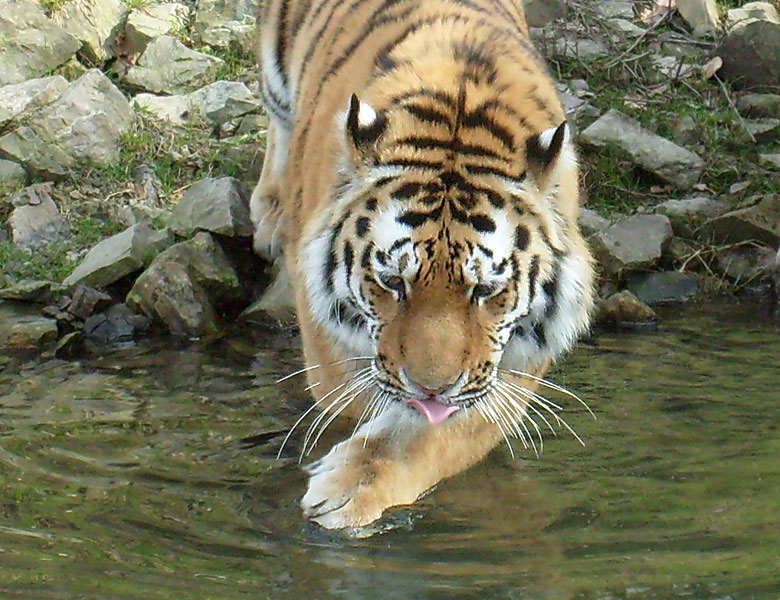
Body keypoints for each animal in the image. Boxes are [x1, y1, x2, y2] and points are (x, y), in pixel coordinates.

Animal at [253, 0, 596, 528]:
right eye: (393, 282)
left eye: (485, 290)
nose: (432, 389)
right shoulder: (329, 342)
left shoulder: (514, 358)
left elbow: (436, 433)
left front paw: (350, 490)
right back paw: (271, 212)